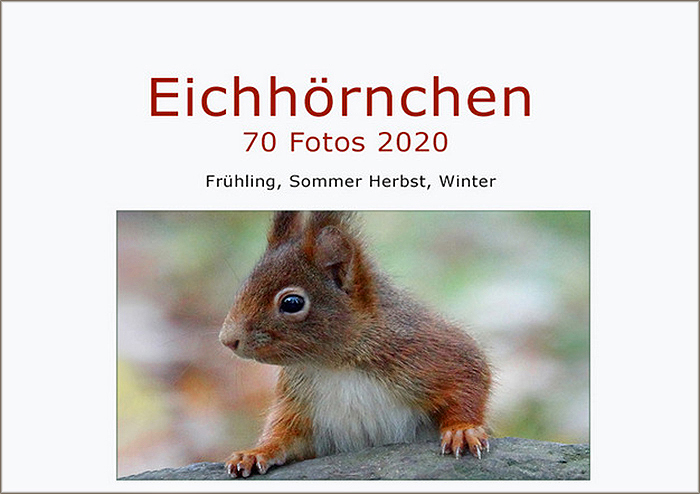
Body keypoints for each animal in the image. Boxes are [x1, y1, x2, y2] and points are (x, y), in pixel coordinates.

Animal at [219, 211, 491, 477]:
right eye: (246, 284)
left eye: (292, 303)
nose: (228, 339)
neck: (336, 365)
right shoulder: (299, 402)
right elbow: (284, 433)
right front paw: (255, 452)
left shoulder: (426, 349)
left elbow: (469, 375)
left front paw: (462, 430)